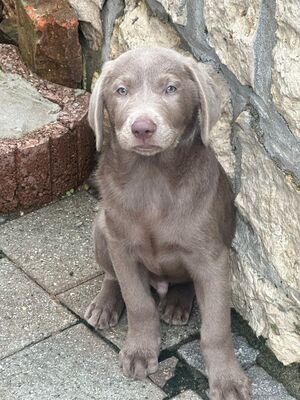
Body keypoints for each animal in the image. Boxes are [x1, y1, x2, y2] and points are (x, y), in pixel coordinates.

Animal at [85, 47, 251, 400]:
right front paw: (139, 352)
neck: (153, 177)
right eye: (121, 90)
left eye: (171, 89)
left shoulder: (213, 259)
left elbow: (216, 327)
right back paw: (105, 305)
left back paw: (176, 303)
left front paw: (228, 380)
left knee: (183, 282)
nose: (143, 127)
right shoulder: (122, 248)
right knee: (111, 276)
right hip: (102, 227)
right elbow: (138, 303)